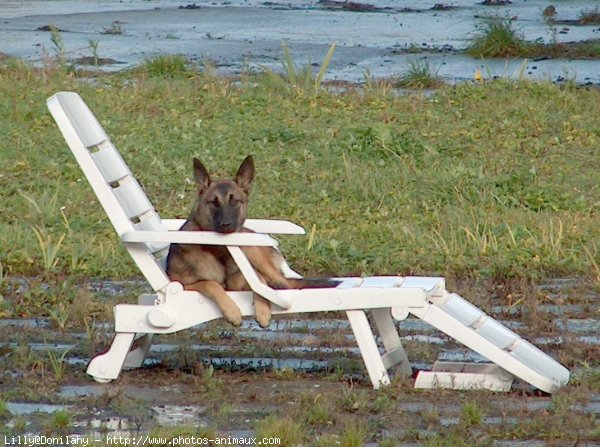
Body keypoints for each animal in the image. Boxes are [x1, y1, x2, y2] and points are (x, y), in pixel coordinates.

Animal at [166, 156, 340, 328]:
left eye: (235, 201)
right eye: (214, 202)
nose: (226, 224)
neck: (220, 250)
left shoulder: (247, 279)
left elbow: (260, 284)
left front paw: (263, 312)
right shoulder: (184, 285)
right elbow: (210, 284)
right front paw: (233, 312)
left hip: (256, 254)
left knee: (282, 281)